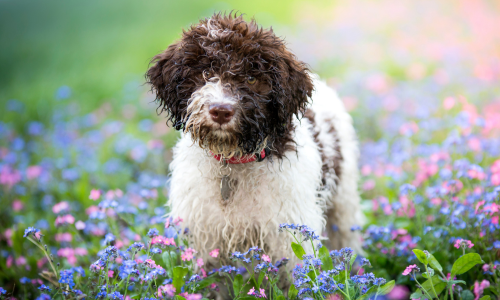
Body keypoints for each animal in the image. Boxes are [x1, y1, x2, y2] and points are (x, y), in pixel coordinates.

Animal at [146, 13, 364, 268]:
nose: (221, 111)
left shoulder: (290, 234)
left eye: (251, 78)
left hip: (344, 200)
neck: (233, 162)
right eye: (205, 73)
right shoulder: (204, 238)